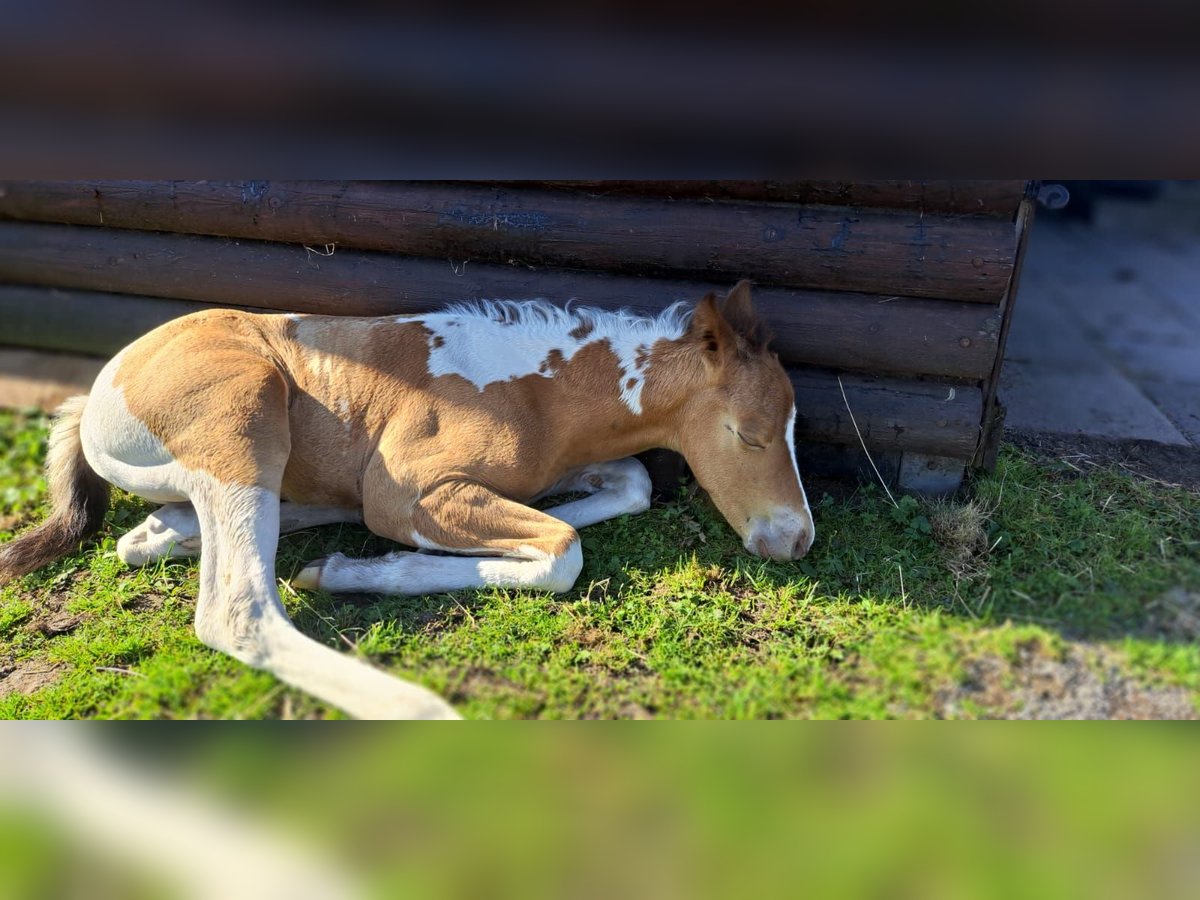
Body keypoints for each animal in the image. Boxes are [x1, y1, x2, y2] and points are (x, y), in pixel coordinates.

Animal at [0, 282, 816, 720]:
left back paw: (175, 531)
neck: (540, 394)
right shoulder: (408, 490)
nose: (797, 539)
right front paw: (361, 570)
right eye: (748, 435)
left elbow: (629, 488)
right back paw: (408, 705)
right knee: (239, 611)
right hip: (243, 407)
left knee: (154, 539)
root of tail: (98, 391)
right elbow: (561, 551)